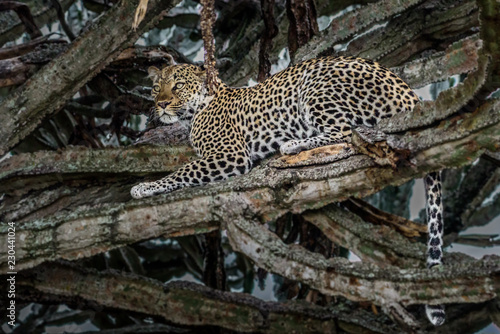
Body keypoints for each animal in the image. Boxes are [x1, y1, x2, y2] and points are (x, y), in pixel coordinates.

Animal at [130, 55, 446, 326]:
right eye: (157, 87)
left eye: (178, 85)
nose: (161, 104)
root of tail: (407, 89)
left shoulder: (229, 155)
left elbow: (181, 172)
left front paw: (144, 187)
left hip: (316, 88)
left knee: (345, 134)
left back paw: (292, 145)